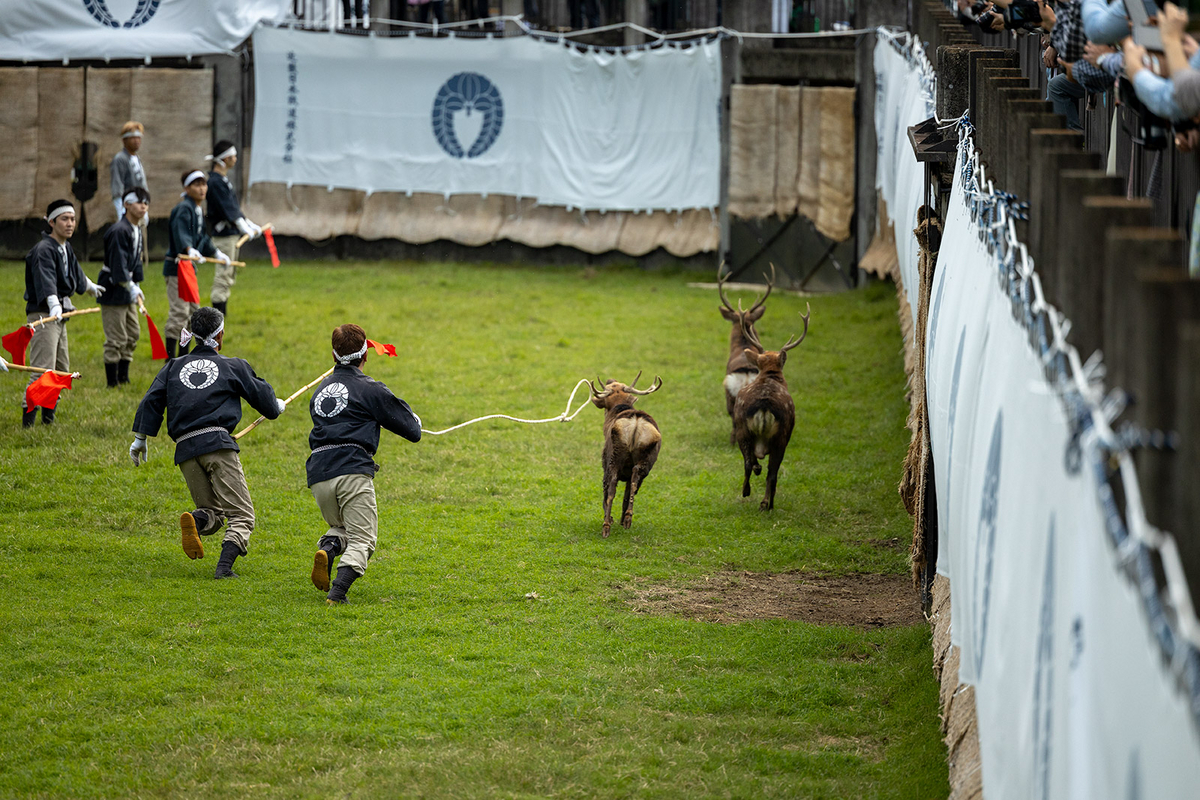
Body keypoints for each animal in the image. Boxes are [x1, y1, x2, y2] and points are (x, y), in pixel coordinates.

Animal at [590, 374, 667, 537]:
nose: (610, 380)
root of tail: (636, 421)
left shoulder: (604, 462)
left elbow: (606, 491)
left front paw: (610, 518)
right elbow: (626, 494)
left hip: (613, 457)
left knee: (611, 487)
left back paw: (607, 525)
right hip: (646, 460)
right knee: (634, 481)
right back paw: (627, 518)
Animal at [724, 303, 811, 510]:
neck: (770, 375)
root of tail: (764, 405)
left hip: (745, 428)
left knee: (753, 465)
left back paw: (756, 493)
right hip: (781, 436)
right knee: (770, 472)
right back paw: (763, 501)